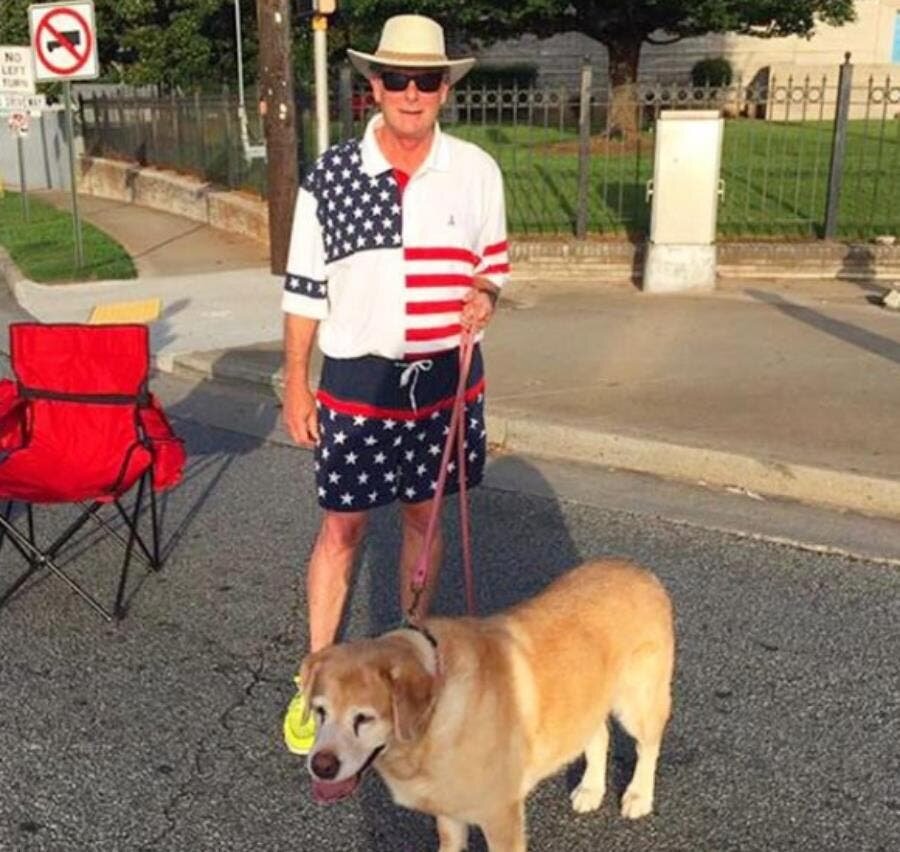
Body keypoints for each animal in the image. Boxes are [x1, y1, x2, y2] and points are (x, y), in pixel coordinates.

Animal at [298, 560, 676, 852]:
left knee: (648, 746)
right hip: (586, 697)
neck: (434, 722)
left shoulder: (501, 817)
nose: (320, 766)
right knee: (599, 736)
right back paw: (590, 789)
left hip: (638, 701)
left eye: (364, 718)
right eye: (320, 711)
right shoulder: (450, 816)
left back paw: (639, 796)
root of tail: (639, 571)